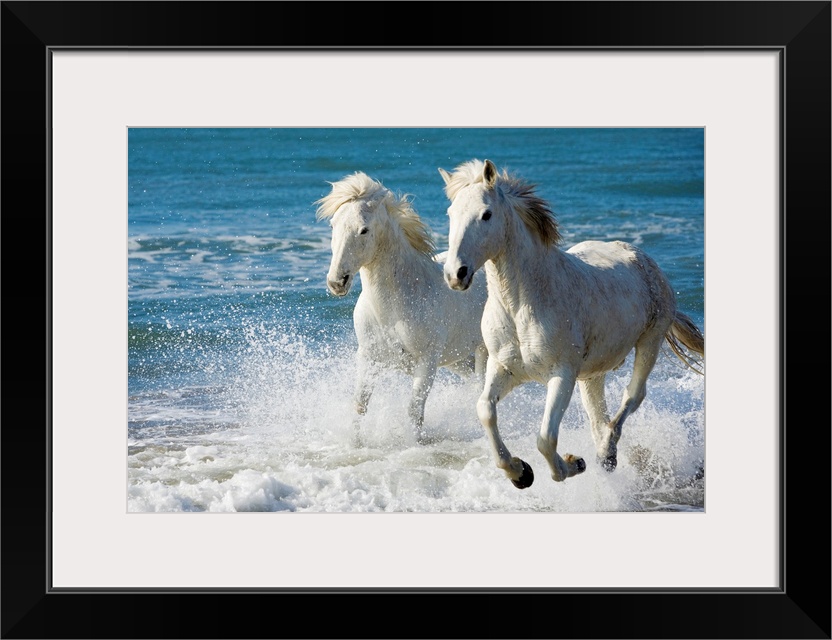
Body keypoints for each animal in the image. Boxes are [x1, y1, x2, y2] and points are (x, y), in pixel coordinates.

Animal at [316, 172, 488, 448]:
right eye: (333, 225)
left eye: (364, 230)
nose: (336, 282)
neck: (394, 308)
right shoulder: (368, 357)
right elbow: (360, 405)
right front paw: (355, 444)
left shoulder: (427, 362)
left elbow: (415, 410)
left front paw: (414, 445)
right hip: (458, 359)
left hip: (484, 351)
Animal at [438, 160, 704, 490]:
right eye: (450, 214)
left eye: (486, 214)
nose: (455, 274)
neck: (522, 306)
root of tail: (642, 257)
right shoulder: (503, 368)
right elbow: (485, 410)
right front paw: (520, 472)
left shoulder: (561, 376)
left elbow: (545, 439)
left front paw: (572, 464)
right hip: (593, 373)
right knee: (597, 414)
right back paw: (606, 454)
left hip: (649, 344)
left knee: (632, 397)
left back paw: (604, 452)